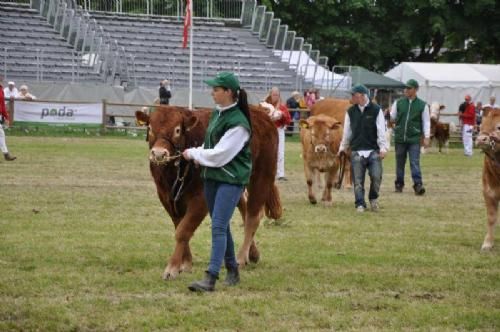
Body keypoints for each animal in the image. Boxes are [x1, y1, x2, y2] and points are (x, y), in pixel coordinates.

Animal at [136, 105, 282, 278]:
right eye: (150, 128)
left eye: (177, 130)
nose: (158, 154)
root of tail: (261, 113)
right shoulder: (166, 197)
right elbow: (179, 226)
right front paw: (185, 263)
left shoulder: (200, 199)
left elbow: (183, 230)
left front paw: (172, 268)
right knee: (245, 209)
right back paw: (252, 254)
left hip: (262, 176)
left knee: (253, 217)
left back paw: (241, 258)